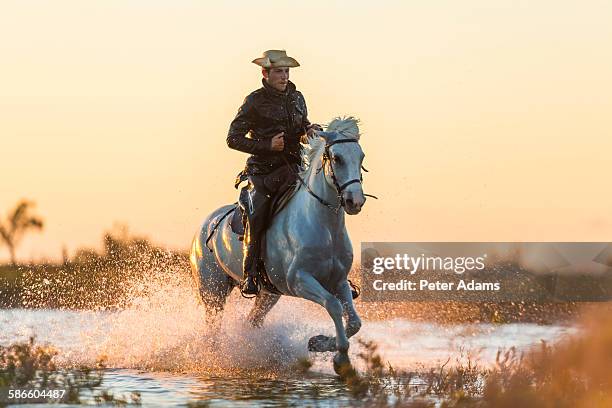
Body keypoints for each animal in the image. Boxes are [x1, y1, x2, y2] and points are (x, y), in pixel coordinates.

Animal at [190, 116, 368, 374]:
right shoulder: (300, 280)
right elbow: (333, 305)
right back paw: (214, 359)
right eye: (337, 158)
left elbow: (354, 322)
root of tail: (204, 226)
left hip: (268, 294)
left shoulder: (339, 281)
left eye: (361, 157)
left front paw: (319, 343)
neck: (325, 227)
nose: (355, 201)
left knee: (252, 321)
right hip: (213, 291)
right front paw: (339, 358)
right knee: (213, 328)